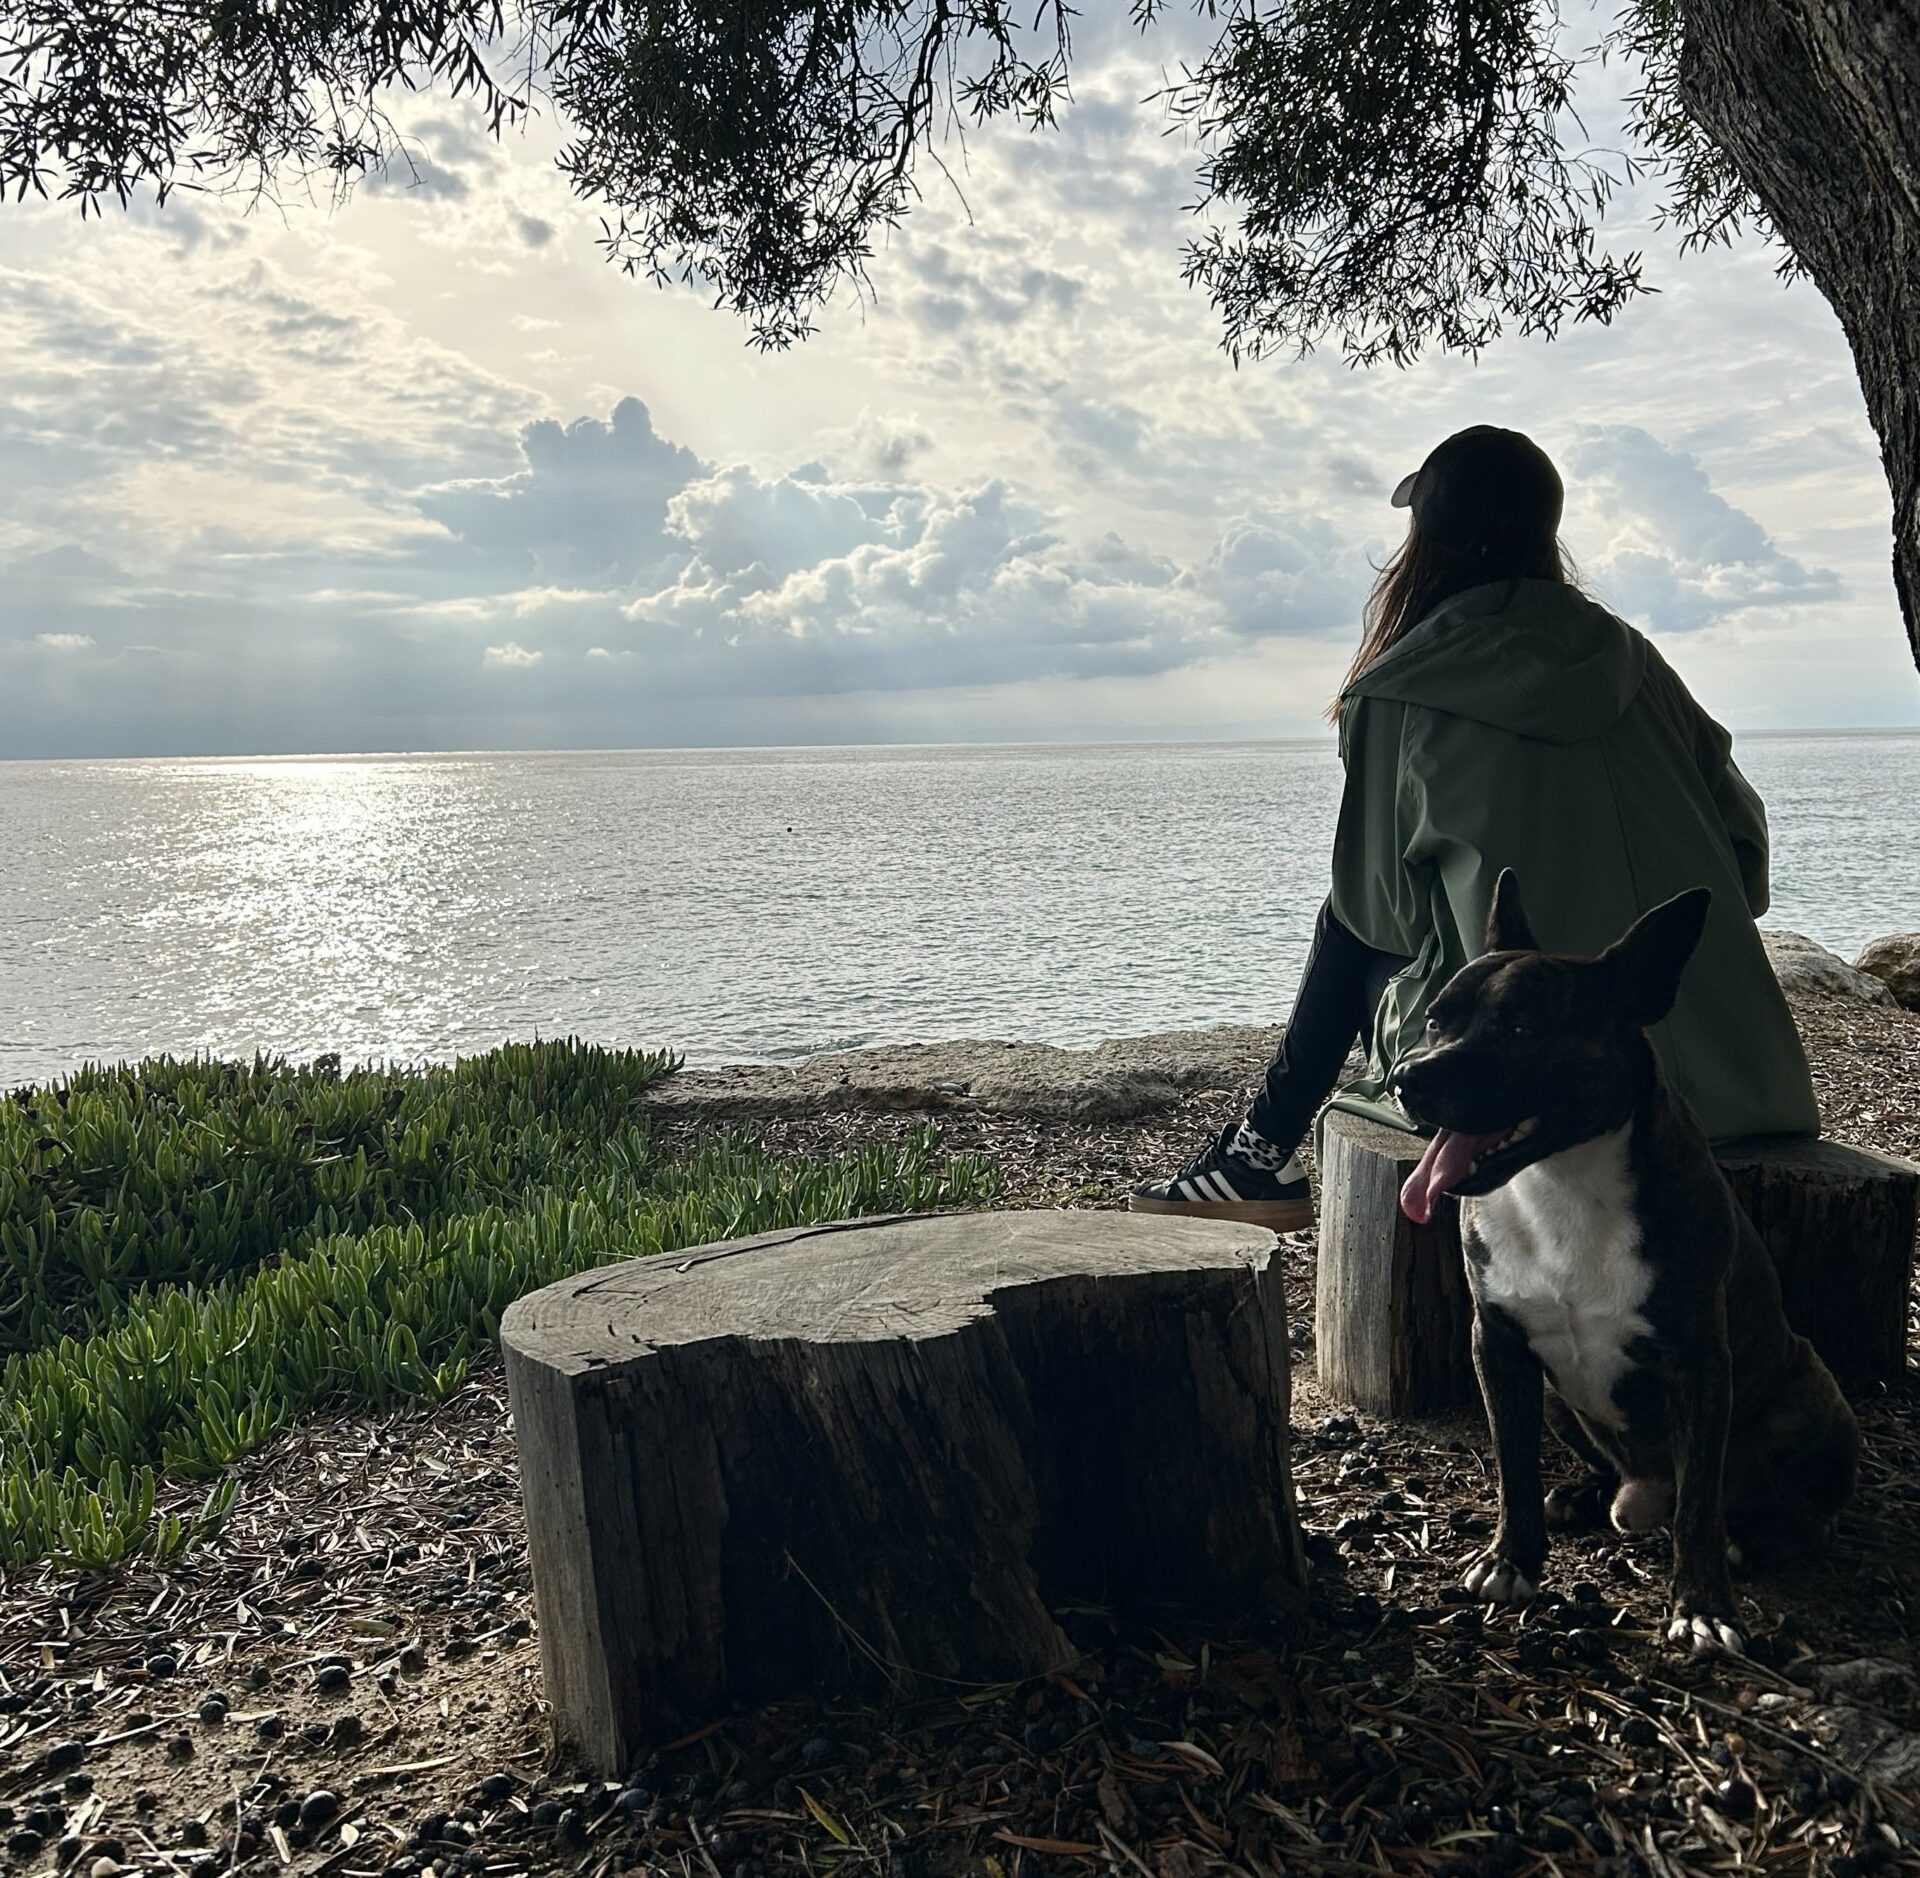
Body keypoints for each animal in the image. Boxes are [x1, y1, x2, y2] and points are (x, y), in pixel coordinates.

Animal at [1392, 871, 1858, 1655]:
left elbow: (1699, 1500)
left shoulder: (1699, 1362)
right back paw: (1581, 1496)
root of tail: (1645, 1493)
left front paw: (1702, 1607)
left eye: (1520, 1030)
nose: (1407, 1076)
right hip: (1560, 1399)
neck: (1563, 1176)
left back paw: (1753, 1540)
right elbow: (1513, 1466)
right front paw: (1511, 1560)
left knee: (1797, 1514)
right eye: (1434, 1021)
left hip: (1810, 1395)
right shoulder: (1501, 1347)